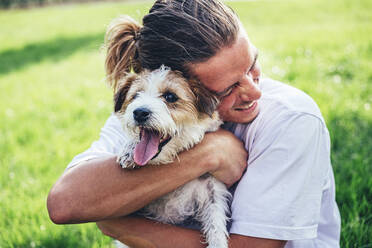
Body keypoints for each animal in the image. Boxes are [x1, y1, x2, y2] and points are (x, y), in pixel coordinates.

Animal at [114, 66, 230, 248]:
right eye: (136, 95)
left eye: (170, 97)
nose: (139, 112)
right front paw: (129, 150)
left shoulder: (212, 191)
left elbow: (215, 224)